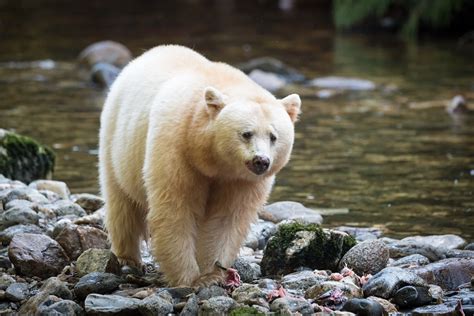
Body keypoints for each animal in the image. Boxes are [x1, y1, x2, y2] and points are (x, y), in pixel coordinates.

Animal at [98, 45, 302, 286]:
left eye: (273, 136)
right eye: (246, 133)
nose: (261, 161)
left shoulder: (240, 180)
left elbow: (226, 218)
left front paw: (212, 273)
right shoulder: (176, 149)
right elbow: (176, 208)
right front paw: (189, 278)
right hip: (117, 140)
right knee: (121, 205)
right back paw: (128, 259)